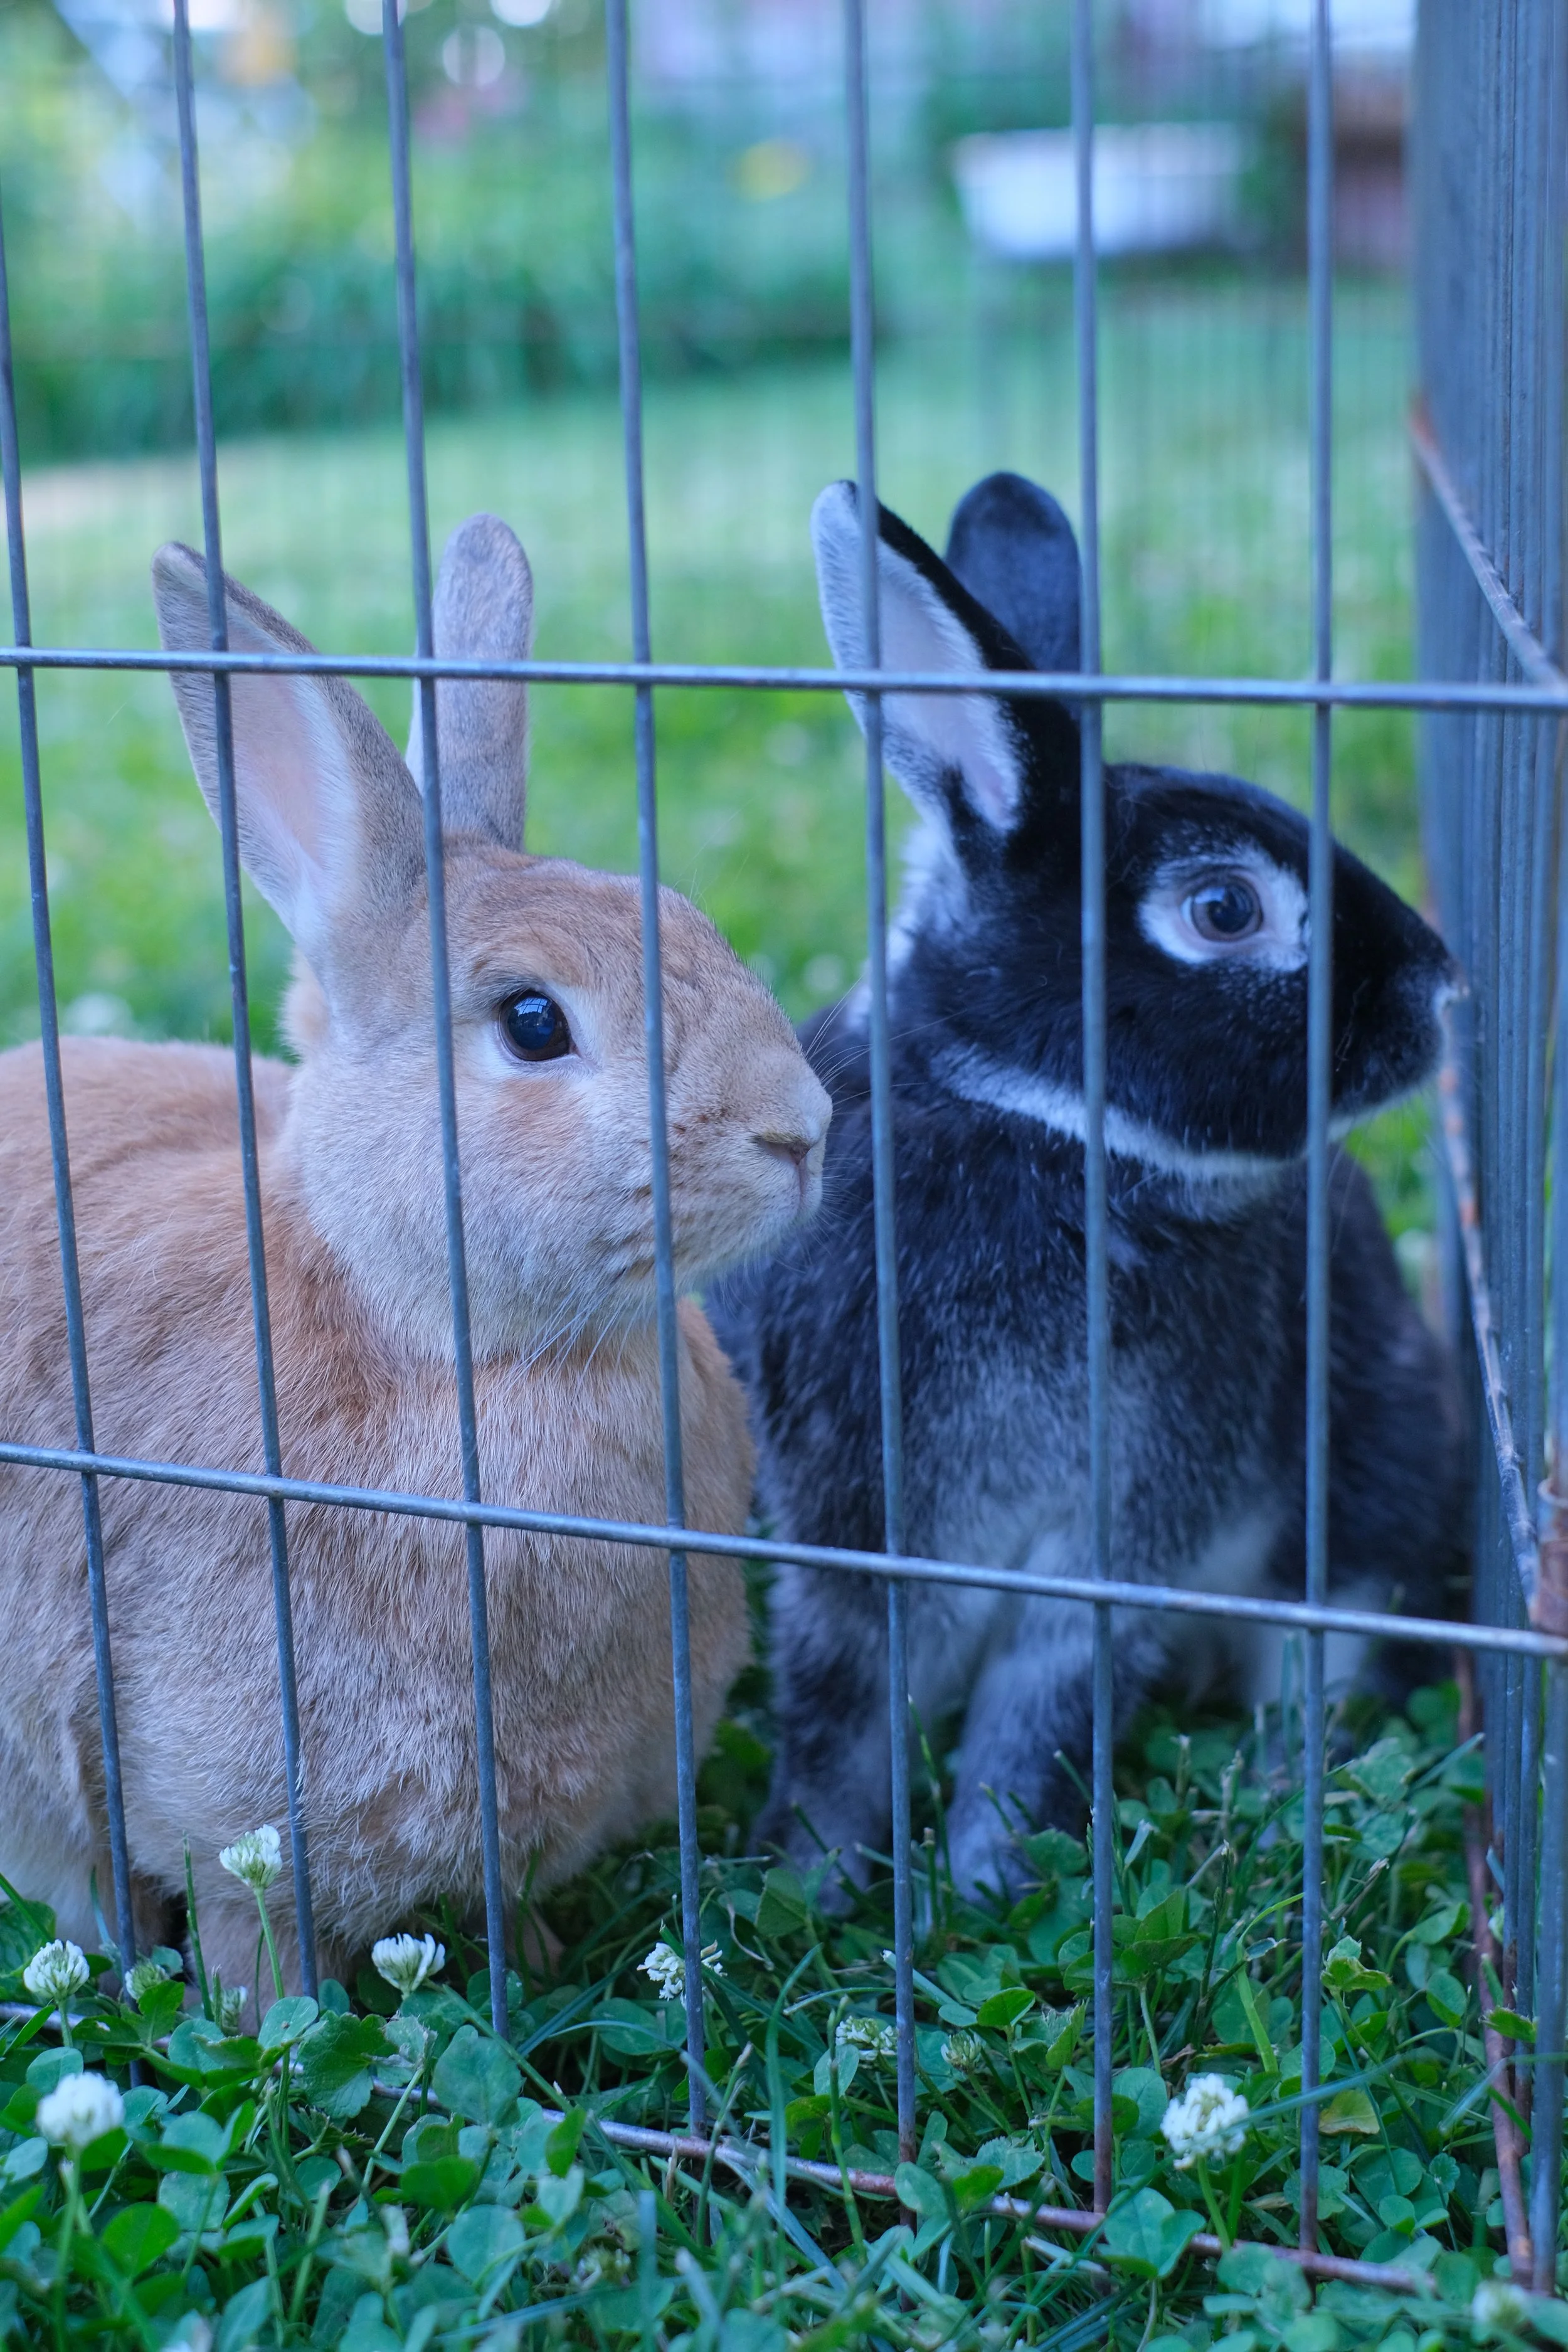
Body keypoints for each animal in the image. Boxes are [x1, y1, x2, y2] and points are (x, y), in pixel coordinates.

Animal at [0, 512, 830, 1998]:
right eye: (533, 1025)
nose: (801, 1129)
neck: (441, 1338)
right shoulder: (227, 1825)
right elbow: (257, 1957)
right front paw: (267, 2020)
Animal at [711, 471, 1466, 1908]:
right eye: (1223, 909)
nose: (1442, 994)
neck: (1044, 1123)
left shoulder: (1122, 1538)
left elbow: (1042, 1698)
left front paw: (995, 1869)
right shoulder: (855, 1522)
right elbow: (844, 1707)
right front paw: (806, 1880)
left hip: (1367, 1488)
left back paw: (1279, 1782)